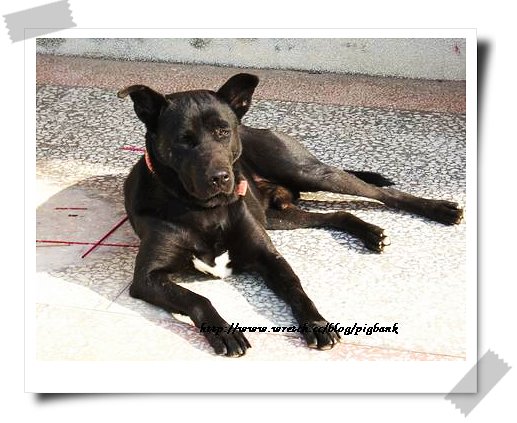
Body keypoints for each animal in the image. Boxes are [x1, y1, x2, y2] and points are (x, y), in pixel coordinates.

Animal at [117, 73, 463, 357]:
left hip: (307, 172)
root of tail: (254, 127)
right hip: (280, 216)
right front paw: (225, 331)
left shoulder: (269, 256)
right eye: (183, 140)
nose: (221, 177)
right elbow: (198, 299)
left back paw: (440, 210)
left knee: (381, 194)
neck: (206, 210)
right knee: (337, 214)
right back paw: (369, 232)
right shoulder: (147, 279)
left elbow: (297, 289)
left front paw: (316, 323)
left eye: (222, 132)